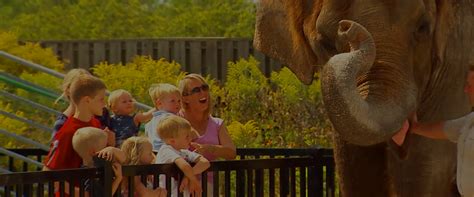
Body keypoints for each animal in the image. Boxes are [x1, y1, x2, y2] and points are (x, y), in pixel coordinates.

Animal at [254, 0, 474, 196]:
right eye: (324, 43)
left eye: (423, 27)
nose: (346, 27)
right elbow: (354, 172)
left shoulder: (454, 72)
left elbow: (423, 176)